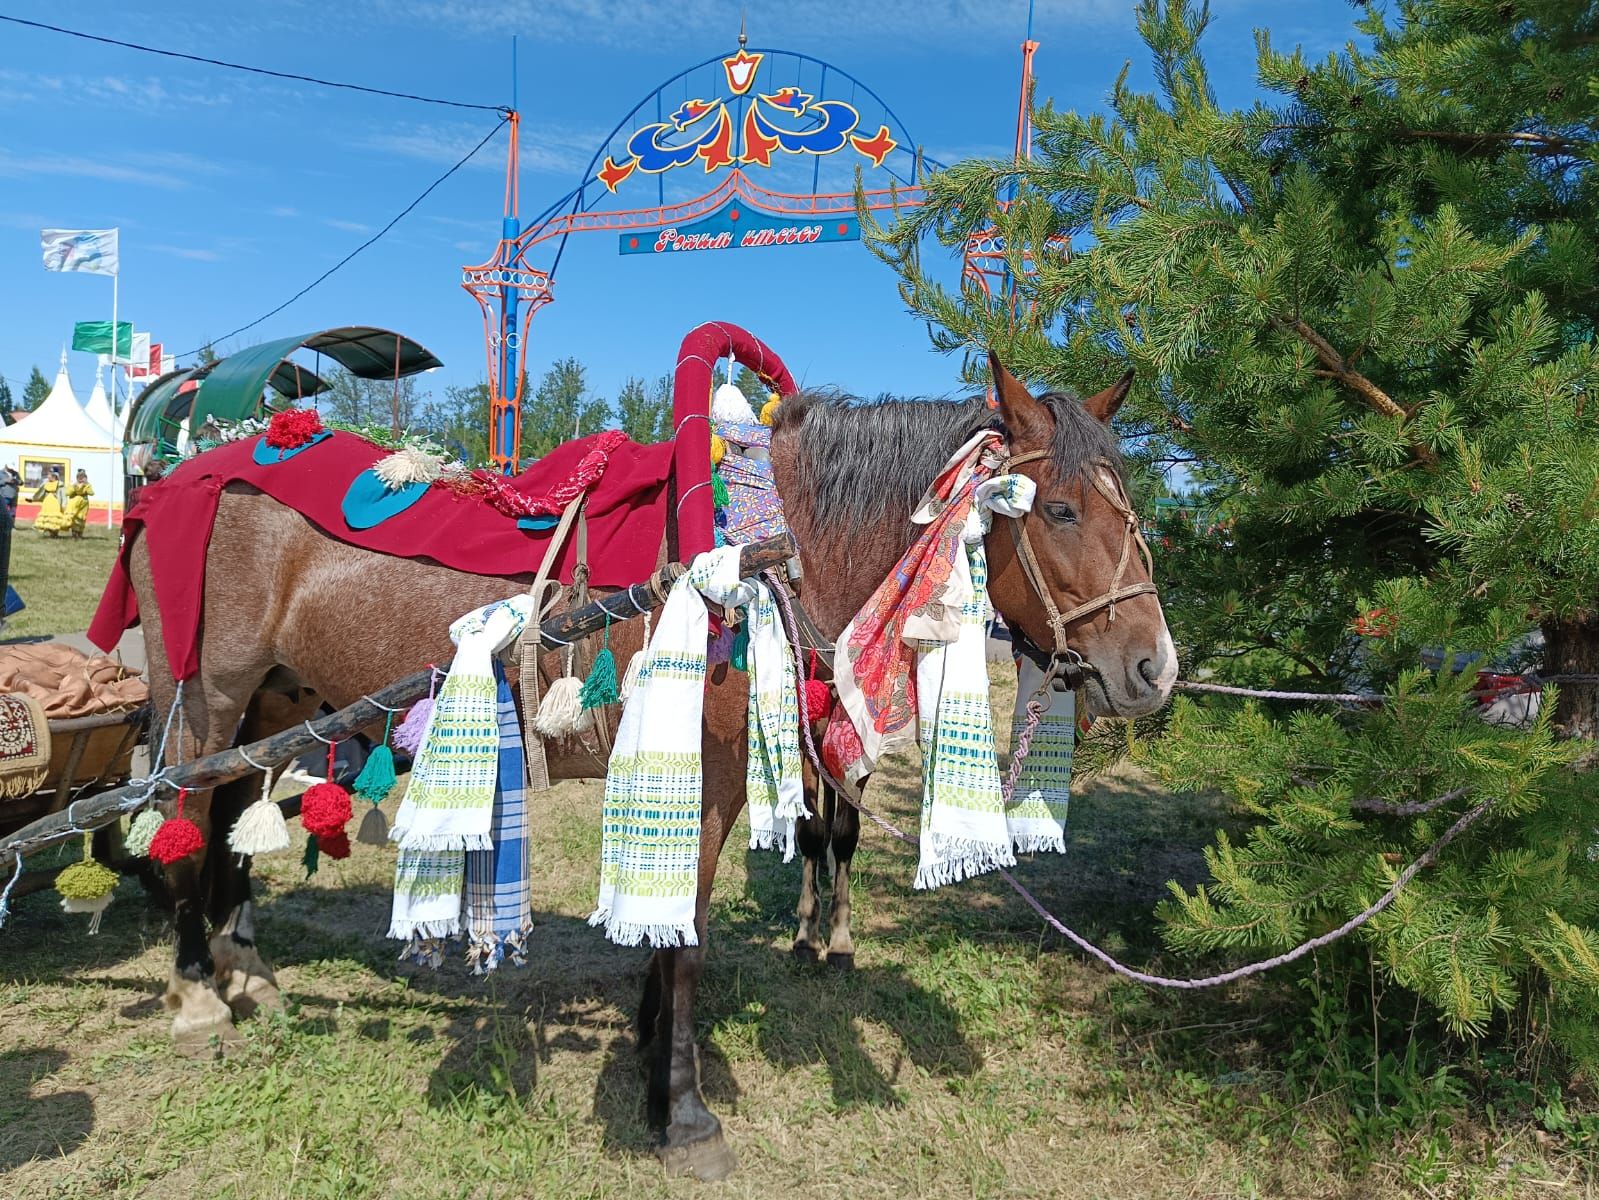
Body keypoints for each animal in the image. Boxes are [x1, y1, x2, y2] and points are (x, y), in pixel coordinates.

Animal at [127, 356, 1176, 1184]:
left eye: (1132, 507)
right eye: (1061, 510)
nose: (1154, 668)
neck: (767, 547)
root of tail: (182, 472)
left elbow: (678, 925)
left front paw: (649, 1048)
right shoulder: (707, 777)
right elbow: (688, 940)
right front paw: (682, 1111)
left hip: (280, 702)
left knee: (234, 818)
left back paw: (247, 973)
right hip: (207, 699)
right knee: (185, 821)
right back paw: (195, 993)